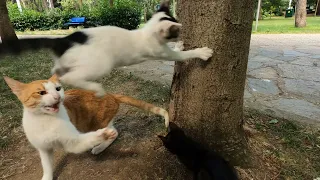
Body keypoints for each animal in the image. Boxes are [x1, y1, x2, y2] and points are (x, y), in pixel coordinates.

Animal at [1, 0, 215, 97]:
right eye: (176, 30)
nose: (181, 32)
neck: (146, 33)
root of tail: (63, 40)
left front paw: (182, 44)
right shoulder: (162, 52)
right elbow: (181, 55)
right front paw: (201, 52)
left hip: (65, 63)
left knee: (57, 72)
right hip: (100, 64)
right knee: (71, 77)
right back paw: (96, 89)